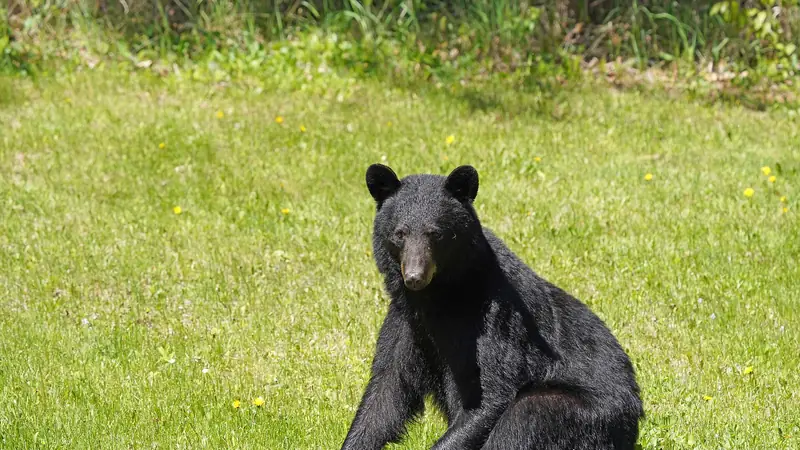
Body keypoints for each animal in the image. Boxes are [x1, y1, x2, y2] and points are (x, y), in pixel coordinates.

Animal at [341, 164, 643, 450]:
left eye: (436, 234)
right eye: (400, 233)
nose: (415, 277)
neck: (438, 298)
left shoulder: (493, 320)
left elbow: (487, 397)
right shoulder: (406, 322)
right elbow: (386, 392)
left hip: (584, 414)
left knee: (524, 417)